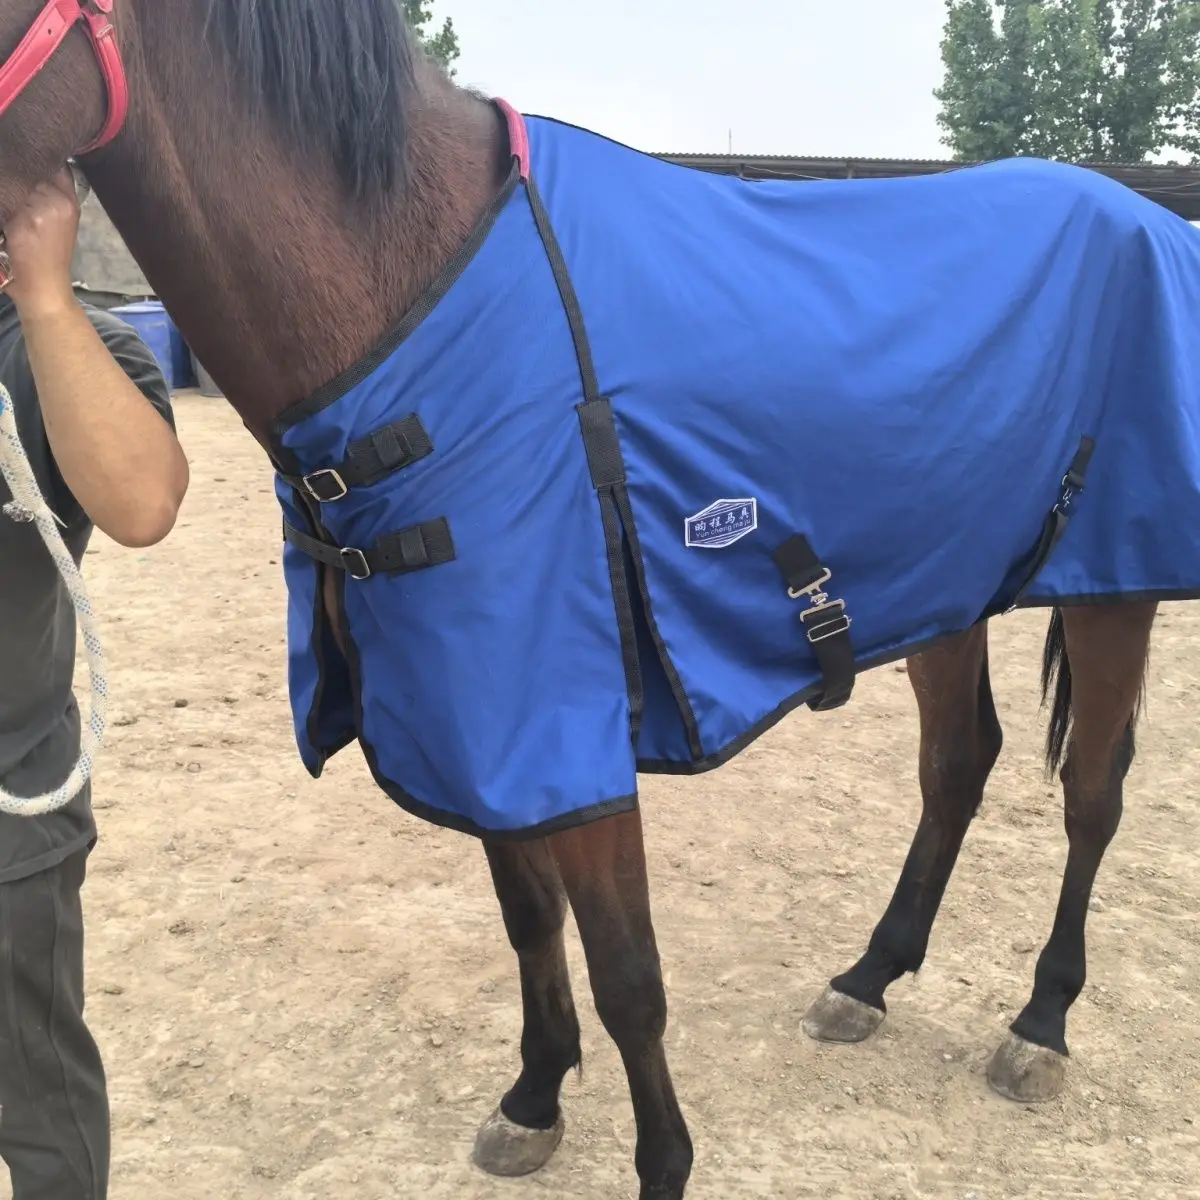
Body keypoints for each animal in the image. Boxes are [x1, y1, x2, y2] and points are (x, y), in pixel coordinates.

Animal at [0, 3, 1195, 1198]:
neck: (415, 292)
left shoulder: (560, 721)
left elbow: (628, 972)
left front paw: (661, 1163)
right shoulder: (472, 720)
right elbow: (530, 921)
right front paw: (533, 1099)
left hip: (1110, 592)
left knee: (1093, 793)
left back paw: (1040, 1024)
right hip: (942, 590)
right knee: (958, 764)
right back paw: (868, 977)